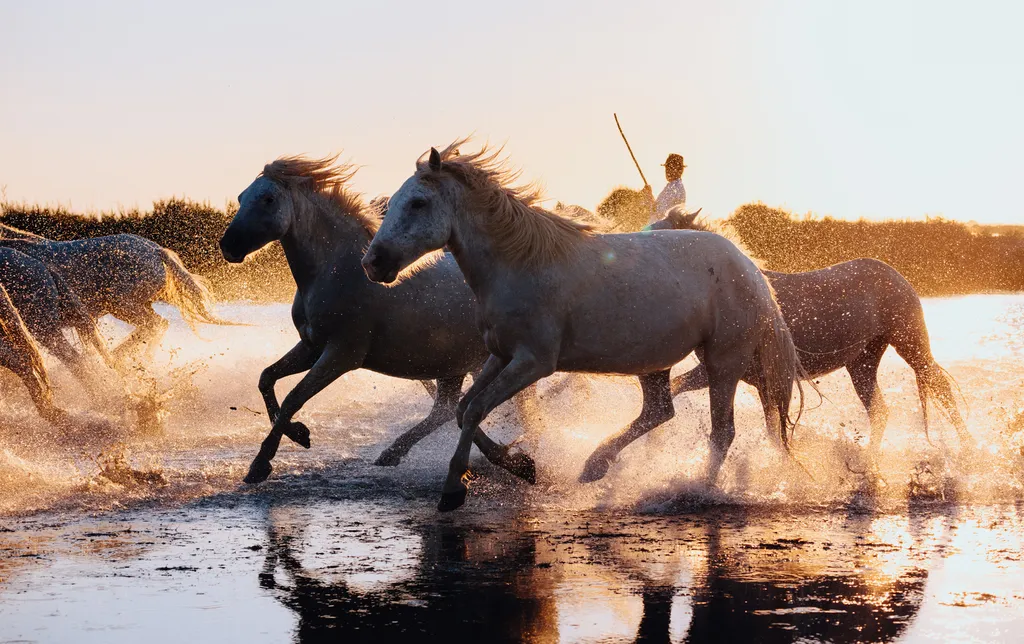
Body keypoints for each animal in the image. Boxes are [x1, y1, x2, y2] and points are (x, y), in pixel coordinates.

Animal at [0, 224, 231, 363]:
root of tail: (156, 251)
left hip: (122, 306)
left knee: (155, 325)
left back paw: (123, 359)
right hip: (135, 305)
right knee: (157, 325)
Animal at [219, 154, 537, 485]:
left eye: (268, 199)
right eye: (241, 197)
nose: (228, 246)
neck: (336, 270)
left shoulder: (342, 355)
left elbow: (294, 398)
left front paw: (261, 464)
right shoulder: (311, 346)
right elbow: (266, 378)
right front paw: (298, 434)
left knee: (457, 409)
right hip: (454, 363)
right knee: (449, 409)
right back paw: (509, 461)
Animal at [362, 139, 804, 511]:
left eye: (418, 203)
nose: (373, 263)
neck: (519, 264)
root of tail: (750, 269)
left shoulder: (533, 362)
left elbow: (474, 411)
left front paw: (455, 489)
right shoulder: (499, 356)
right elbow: (464, 408)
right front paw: (521, 464)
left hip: (723, 360)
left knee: (721, 431)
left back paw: (699, 490)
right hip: (654, 361)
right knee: (659, 412)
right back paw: (596, 465)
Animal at [647, 207, 970, 452]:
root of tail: (896, 275)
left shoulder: (724, 370)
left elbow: (677, 389)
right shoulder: (756, 380)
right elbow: (773, 431)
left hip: (910, 344)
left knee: (940, 388)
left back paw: (968, 452)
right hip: (862, 363)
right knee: (880, 411)